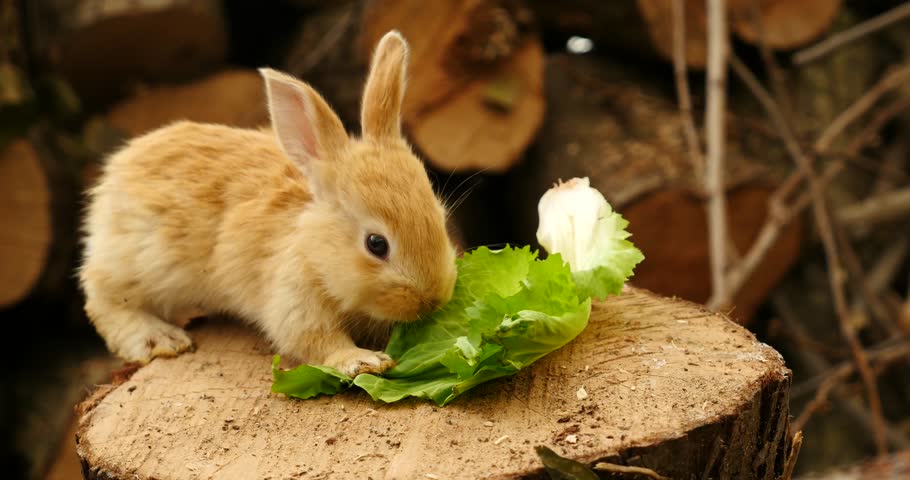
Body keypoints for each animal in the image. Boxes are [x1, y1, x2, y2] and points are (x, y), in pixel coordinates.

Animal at [77, 30, 460, 376]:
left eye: (440, 218)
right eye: (376, 244)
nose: (433, 299)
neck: (313, 248)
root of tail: (116, 171)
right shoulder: (292, 298)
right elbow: (315, 339)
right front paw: (362, 361)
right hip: (135, 263)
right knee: (103, 298)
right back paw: (160, 339)